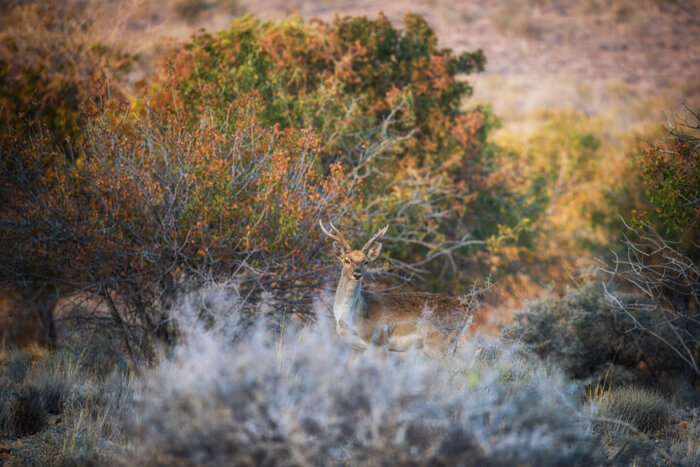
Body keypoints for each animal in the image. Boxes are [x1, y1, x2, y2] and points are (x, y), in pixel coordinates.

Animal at [322, 220, 476, 354]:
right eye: (346, 260)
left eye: (365, 262)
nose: (357, 274)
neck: (351, 319)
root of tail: (467, 310)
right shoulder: (354, 347)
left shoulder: (380, 344)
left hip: (438, 345)